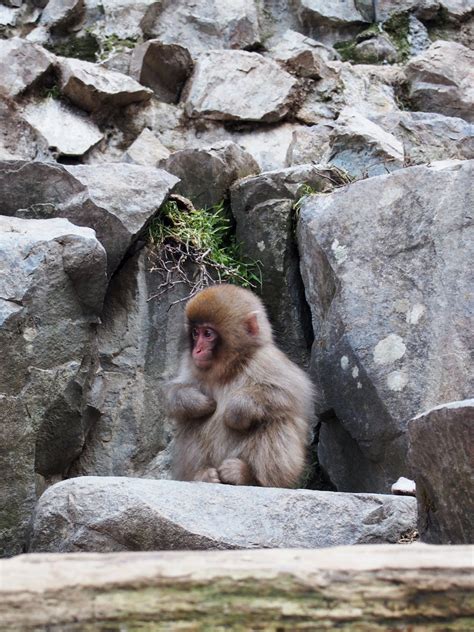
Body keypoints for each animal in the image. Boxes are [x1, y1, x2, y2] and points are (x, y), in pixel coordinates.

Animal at [167, 284, 314, 486]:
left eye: (208, 334)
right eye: (196, 333)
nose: (197, 349)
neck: (230, 368)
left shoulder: (266, 358)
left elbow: (293, 392)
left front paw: (236, 411)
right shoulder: (191, 364)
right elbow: (174, 392)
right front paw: (196, 401)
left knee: (278, 419)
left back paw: (248, 476)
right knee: (190, 420)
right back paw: (202, 475)